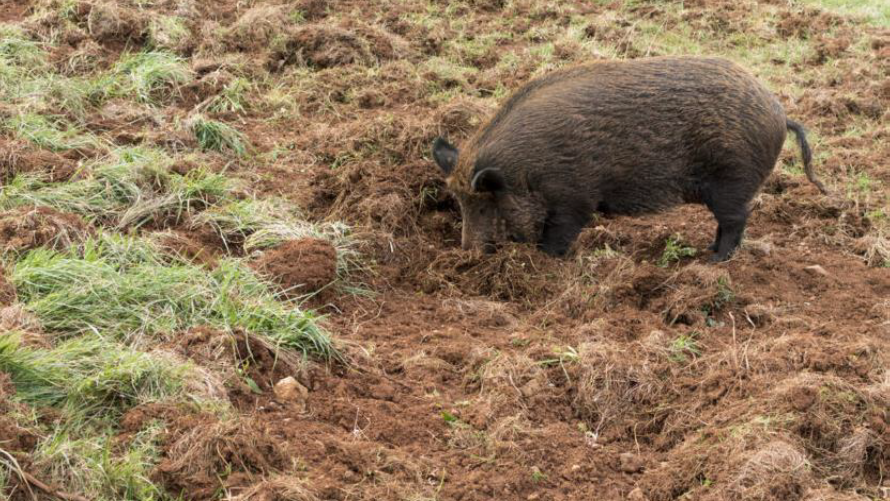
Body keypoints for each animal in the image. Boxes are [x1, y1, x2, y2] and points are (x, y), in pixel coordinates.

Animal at [431, 56, 826, 261]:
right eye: (460, 202)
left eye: (485, 204)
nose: (466, 252)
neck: (526, 172)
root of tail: (779, 114)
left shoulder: (574, 198)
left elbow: (557, 236)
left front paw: (546, 262)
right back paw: (707, 251)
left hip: (732, 179)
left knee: (736, 220)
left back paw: (713, 260)